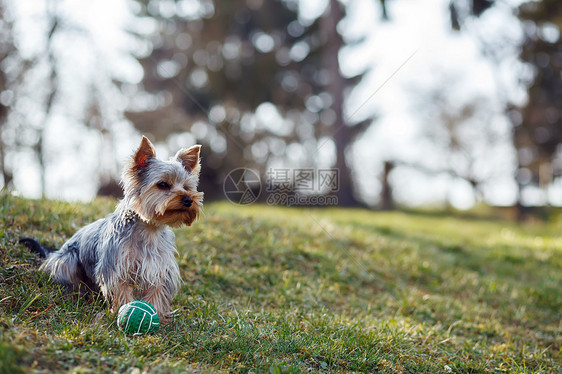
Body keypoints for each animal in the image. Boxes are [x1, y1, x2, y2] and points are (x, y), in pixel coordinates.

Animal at [20, 137, 203, 318]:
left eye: (187, 187)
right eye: (163, 184)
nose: (188, 200)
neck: (149, 228)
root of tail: (53, 253)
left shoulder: (158, 268)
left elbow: (156, 292)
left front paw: (157, 315)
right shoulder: (115, 265)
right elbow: (121, 289)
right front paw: (123, 312)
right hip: (67, 259)